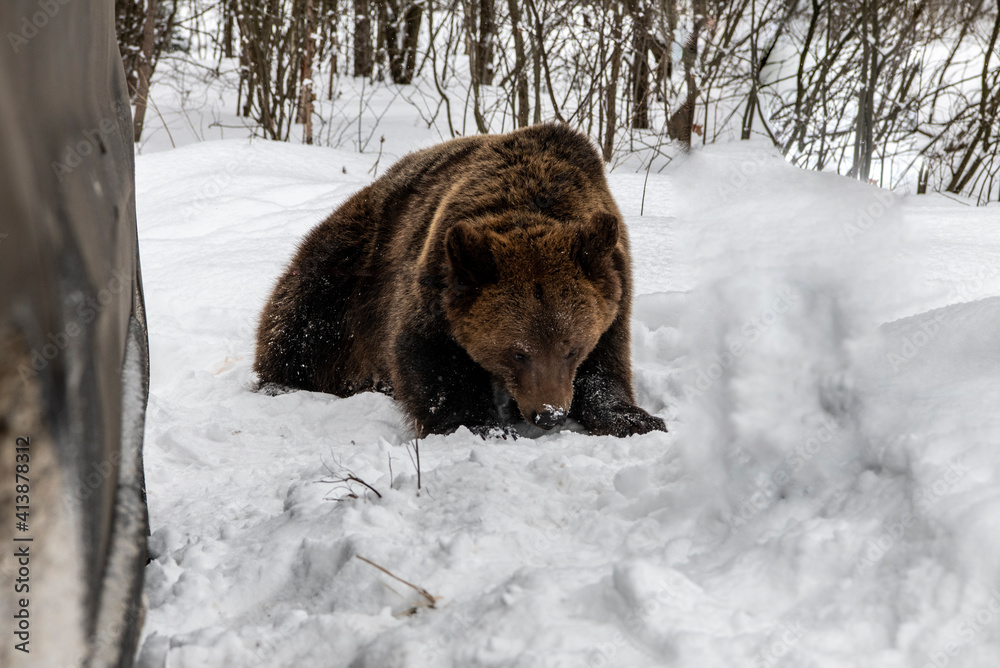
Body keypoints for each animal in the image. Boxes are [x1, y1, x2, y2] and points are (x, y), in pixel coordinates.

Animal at [254, 123, 666, 439]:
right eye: (517, 352)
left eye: (572, 348)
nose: (549, 414)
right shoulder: (436, 284)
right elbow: (430, 364)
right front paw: (485, 426)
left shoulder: (614, 287)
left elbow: (607, 366)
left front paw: (636, 419)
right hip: (354, 258)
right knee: (303, 316)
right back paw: (281, 380)